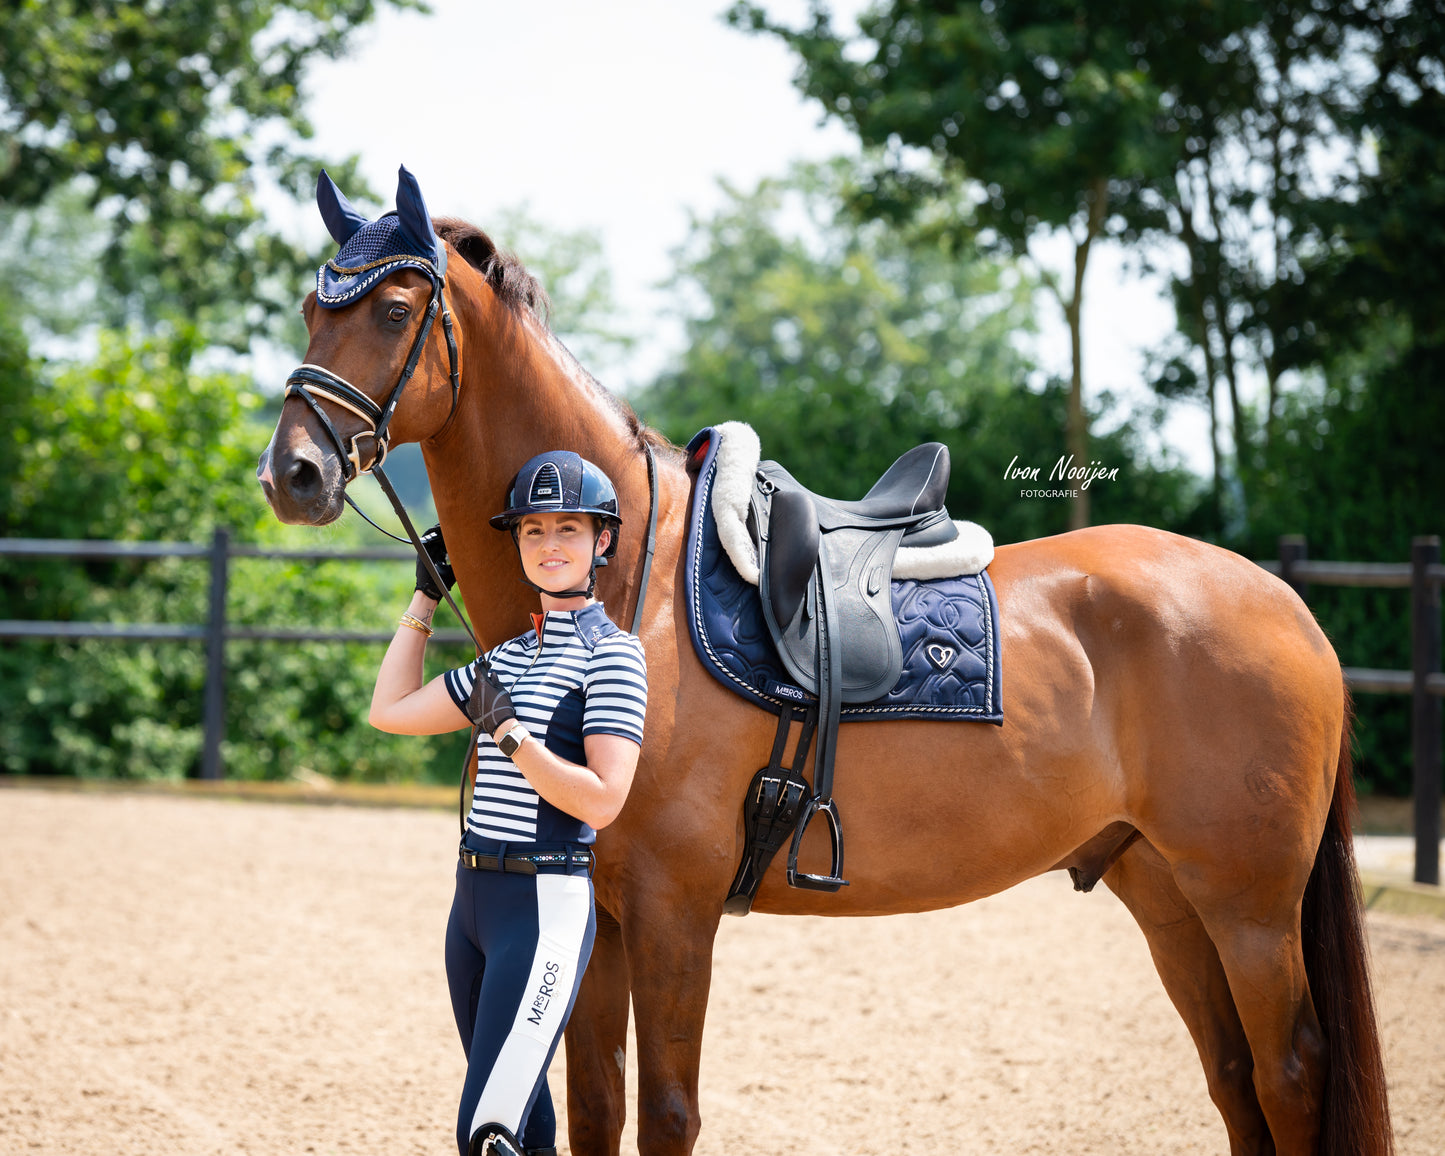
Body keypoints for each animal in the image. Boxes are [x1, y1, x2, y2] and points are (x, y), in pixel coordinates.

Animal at [257, 174, 1387, 1156]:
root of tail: (1284, 605)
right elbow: (597, 1108)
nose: (291, 474)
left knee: (1288, 1073)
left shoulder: (671, 910)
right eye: (312, 311)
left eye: (393, 311)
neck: (630, 587)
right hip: (1164, 891)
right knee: (1234, 1078)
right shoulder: (601, 914)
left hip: (1246, 906)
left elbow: (665, 1113)